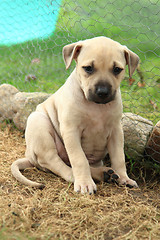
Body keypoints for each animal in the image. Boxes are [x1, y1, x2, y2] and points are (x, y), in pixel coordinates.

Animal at [10, 36, 139, 193]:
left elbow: (119, 157)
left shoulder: (116, 130)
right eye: (88, 68)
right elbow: (79, 159)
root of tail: (29, 156)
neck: (96, 107)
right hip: (38, 122)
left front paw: (124, 178)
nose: (102, 92)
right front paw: (84, 183)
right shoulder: (71, 131)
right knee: (55, 162)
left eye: (117, 69)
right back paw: (78, 176)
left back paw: (104, 173)